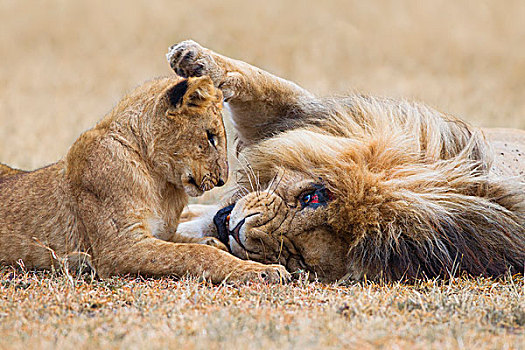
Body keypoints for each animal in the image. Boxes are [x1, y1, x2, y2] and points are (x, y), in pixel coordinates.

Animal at [0, 75, 288, 284]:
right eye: (210, 136)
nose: (221, 180)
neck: (160, 182)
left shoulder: (162, 233)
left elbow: (193, 243)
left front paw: (218, 243)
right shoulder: (120, 247)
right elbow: (196, 254)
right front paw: (264, 271)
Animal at [168, 40, 524, 282]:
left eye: (296, 256)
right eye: (312, 196)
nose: (238, 230)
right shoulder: (311, 115)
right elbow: (265, 85)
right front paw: (194, 60)